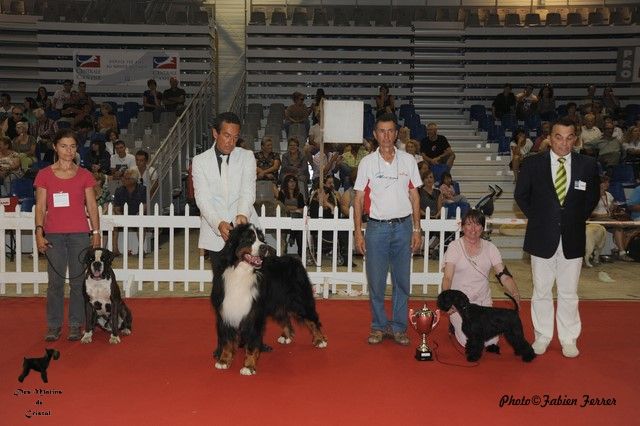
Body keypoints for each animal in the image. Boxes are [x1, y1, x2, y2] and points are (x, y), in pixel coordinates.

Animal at [211, 223, 328, 376]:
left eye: (261, 239)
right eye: (249, 239)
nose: (264, 247)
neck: (241, 273)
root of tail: (295, 260)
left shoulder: (254, 313)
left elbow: (251, 343)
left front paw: (249, 366)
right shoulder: (226, 310)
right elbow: (226, 341)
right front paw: (224, 360)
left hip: (300, 300)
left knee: (312, 319)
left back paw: (320, 339)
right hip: (277, 303)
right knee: (285, 317)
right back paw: (286, 336)